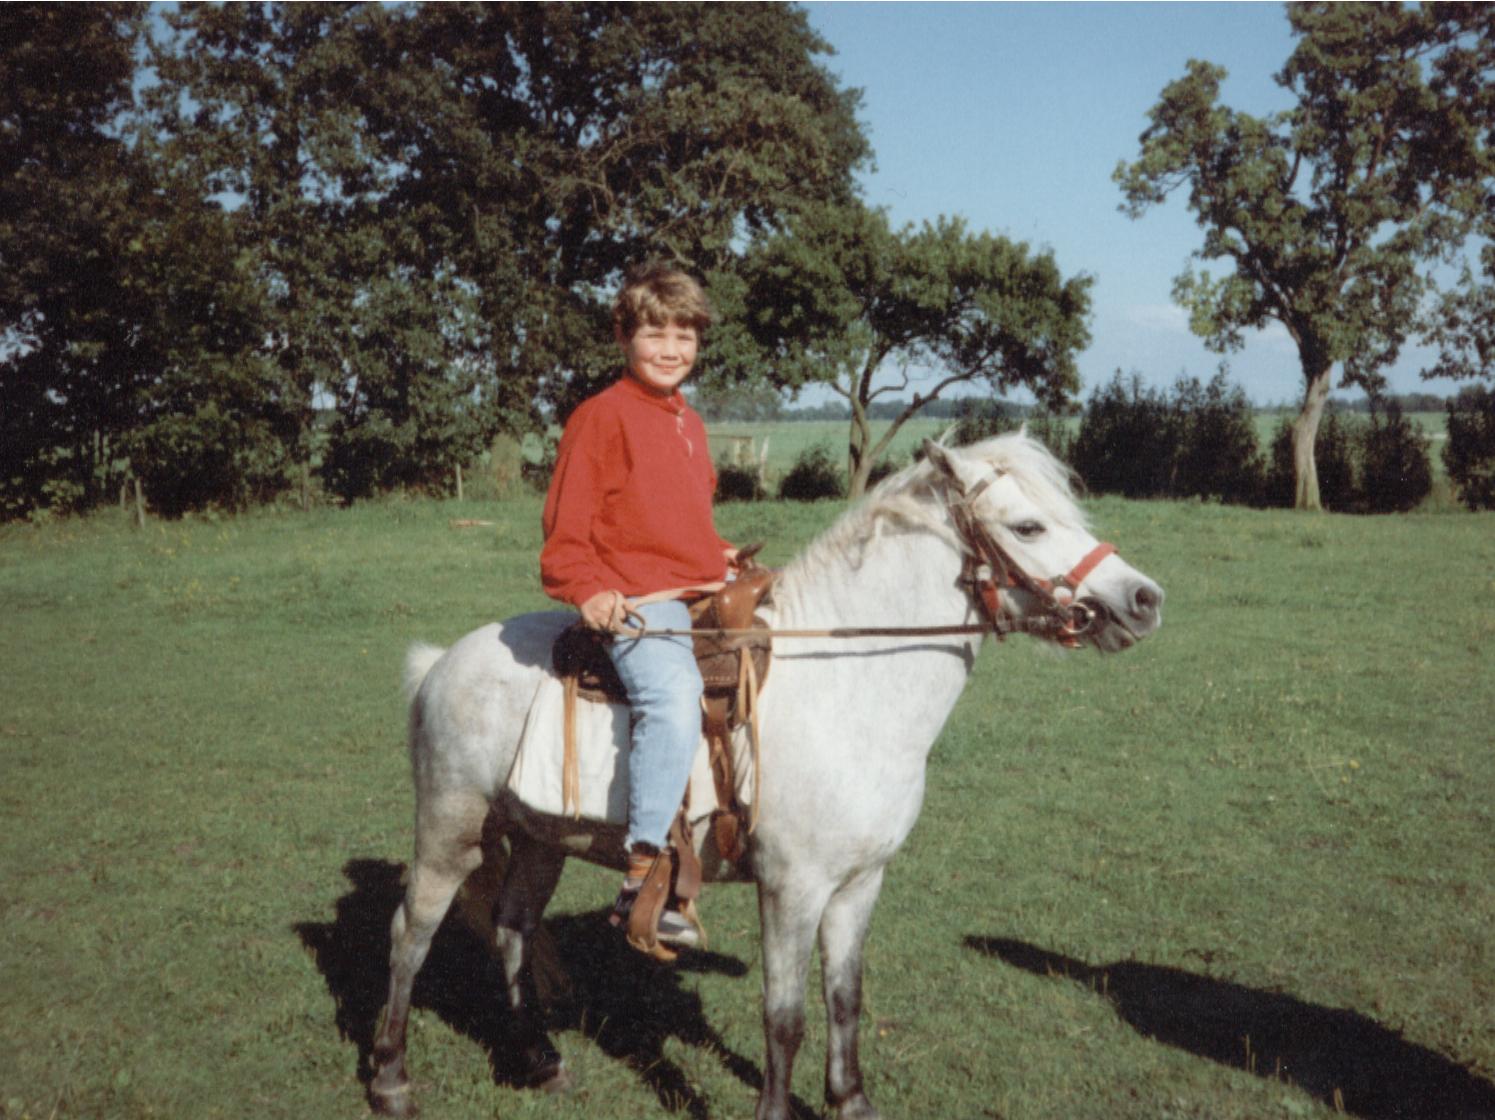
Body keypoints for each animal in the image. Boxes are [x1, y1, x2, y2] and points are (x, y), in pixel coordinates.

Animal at [367, 433, 1160, 1112]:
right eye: (1028, 527)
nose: (1144, 599)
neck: (847, 685)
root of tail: (440, 663)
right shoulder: (791, 888)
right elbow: (784, 1016)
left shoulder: (858, 883)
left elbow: (844, 999)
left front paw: (851, 1101)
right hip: (450, 830)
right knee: (411, 934)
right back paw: (391, 1080)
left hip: (537, 840)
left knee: (513, 928)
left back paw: (539, 1060)